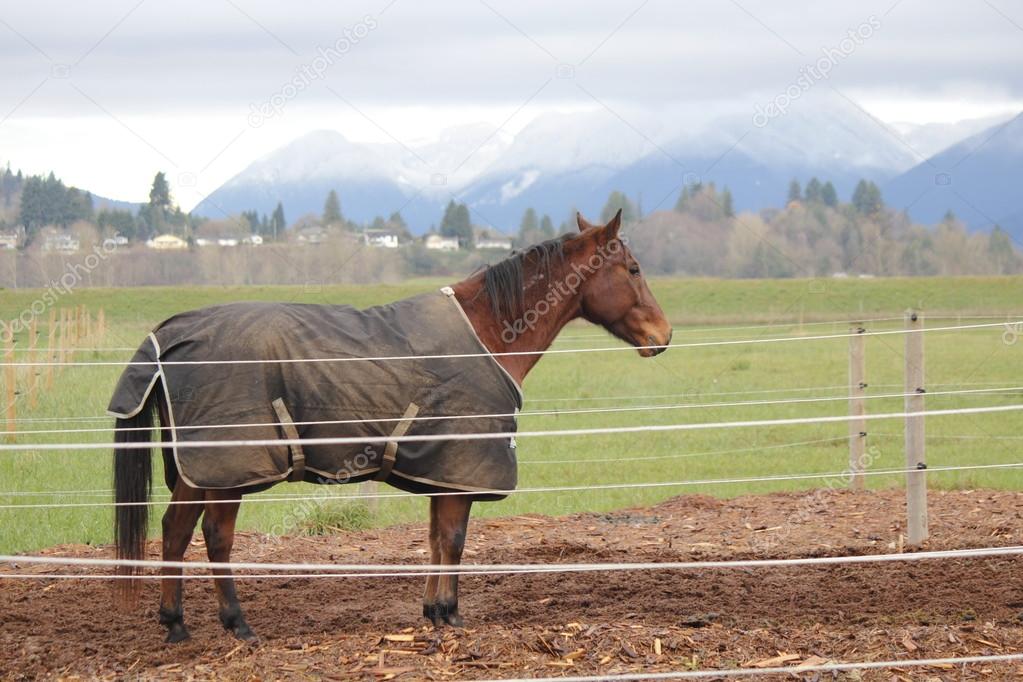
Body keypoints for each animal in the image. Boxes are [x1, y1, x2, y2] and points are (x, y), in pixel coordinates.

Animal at [112, 209, 671, 646]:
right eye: (633, 268)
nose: (663, 335)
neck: (489, 332)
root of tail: (170, 333)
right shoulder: (461, 472)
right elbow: (454, 540)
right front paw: (450, 615)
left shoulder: (442, 472)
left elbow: (435, 540)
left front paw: (433, 611)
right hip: (231, 469)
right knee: (216, 538)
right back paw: (237, 624)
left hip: (199, 470)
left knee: (175, 531)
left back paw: (176, 624)